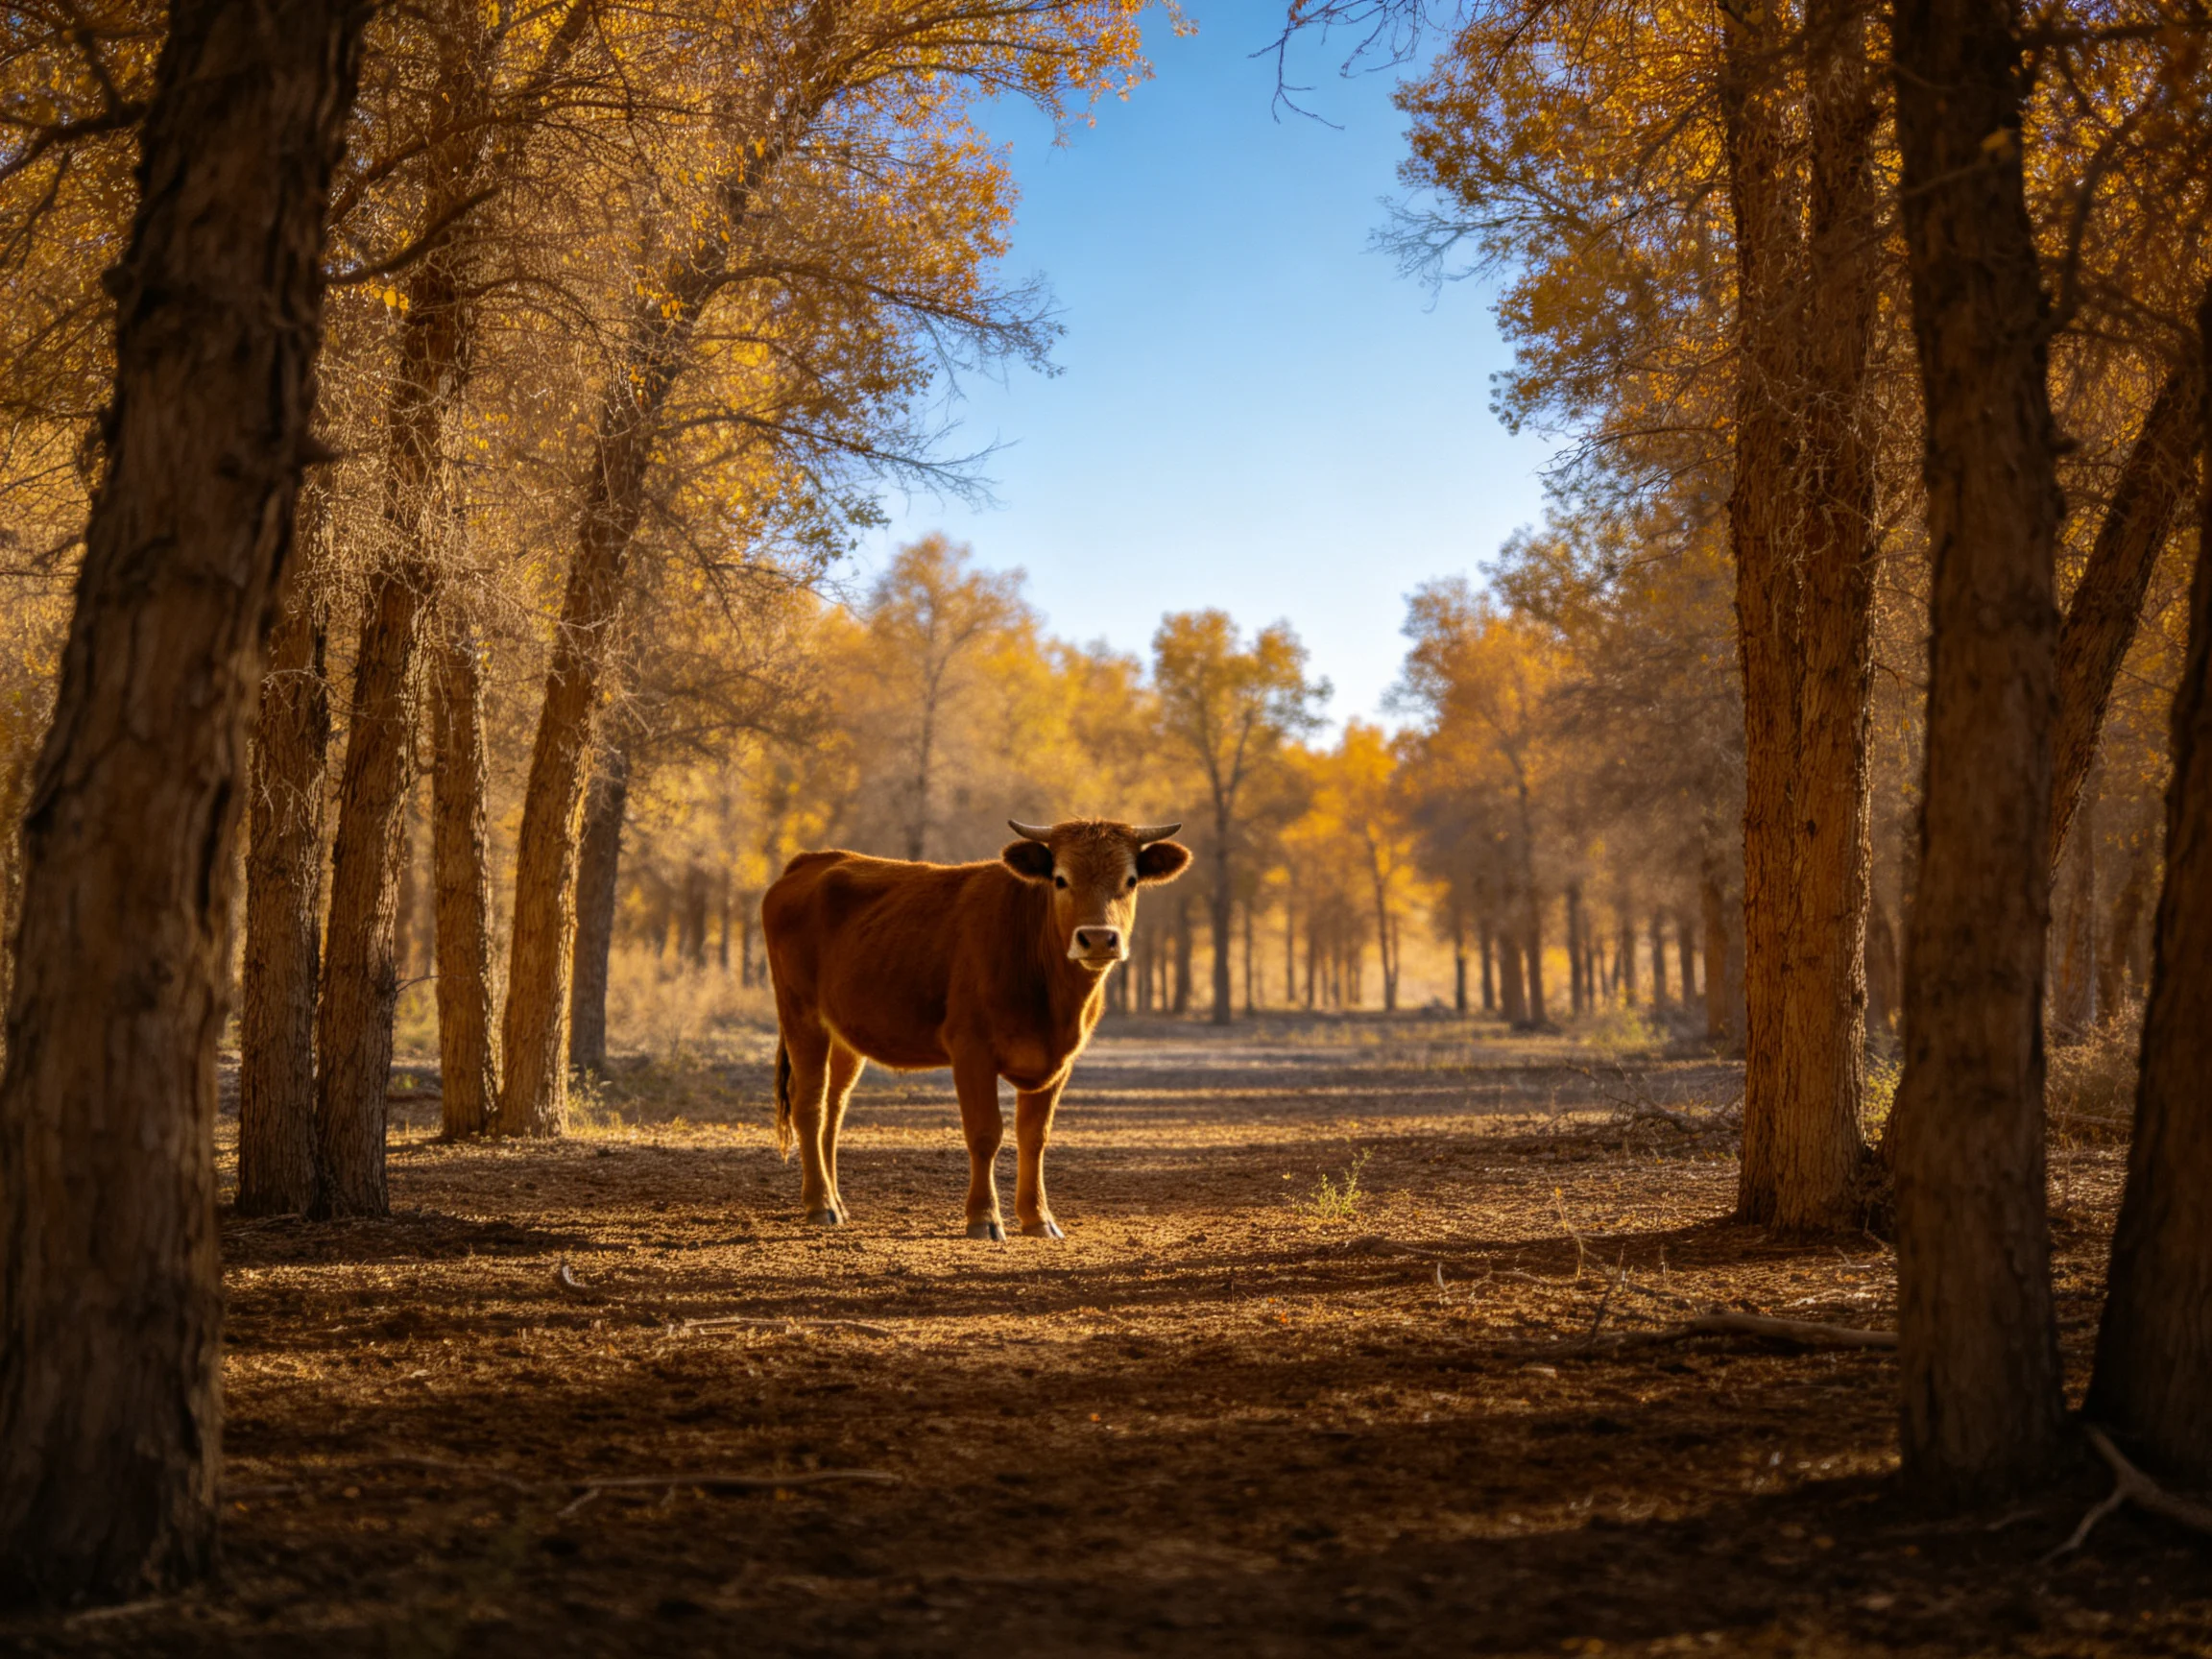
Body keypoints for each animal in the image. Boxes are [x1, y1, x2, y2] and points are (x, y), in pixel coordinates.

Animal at [760, 817, 1191, 1239]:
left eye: (1130, 880)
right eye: (1060, 879)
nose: (1098, 939)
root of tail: (814, 861)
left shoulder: (1060, 1061)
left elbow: (1034, 1136)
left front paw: (1038, 1218)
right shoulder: (972, 1050)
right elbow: (985, 1134)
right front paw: (984, 1218)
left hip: (844, 1035)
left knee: (834, 1108)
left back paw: (837, 1201)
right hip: (801, 1015)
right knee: (809, 1105)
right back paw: (820, 1205)